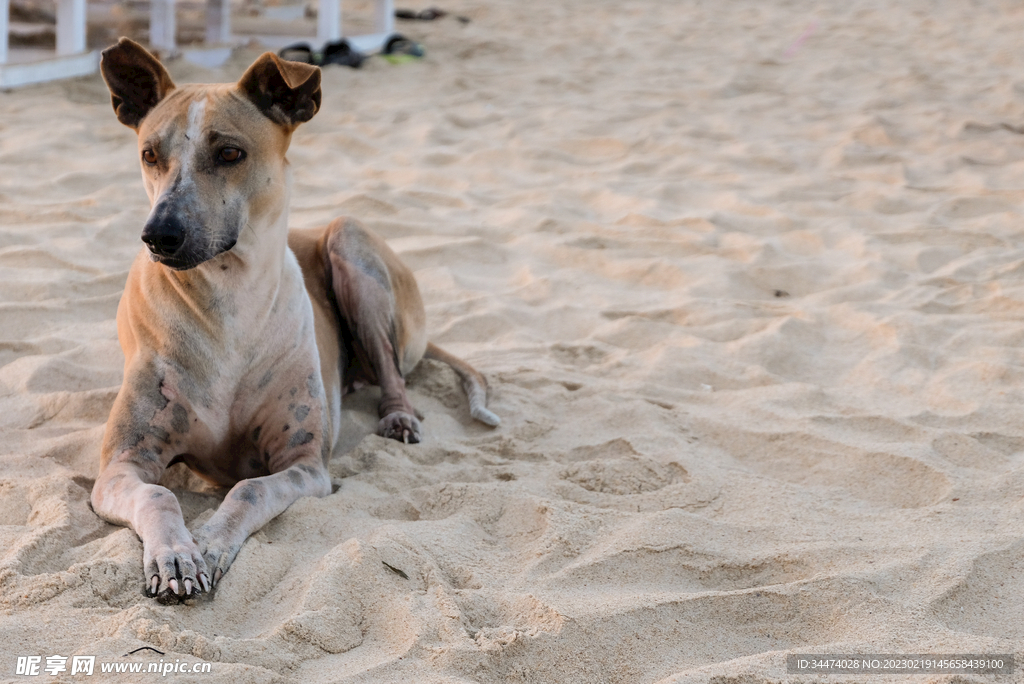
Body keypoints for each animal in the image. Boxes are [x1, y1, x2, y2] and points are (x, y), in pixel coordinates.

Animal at [92, 40, 499, 602]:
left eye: (230, 153)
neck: (229, 301)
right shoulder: (120, 467)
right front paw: (175, 553)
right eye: (149, 154)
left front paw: (211, 542)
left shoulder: (304, 465)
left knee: (391, 367)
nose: (158, 236)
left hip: (350, 241)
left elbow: (248, 489)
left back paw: (397, 415)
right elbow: (157, 495)